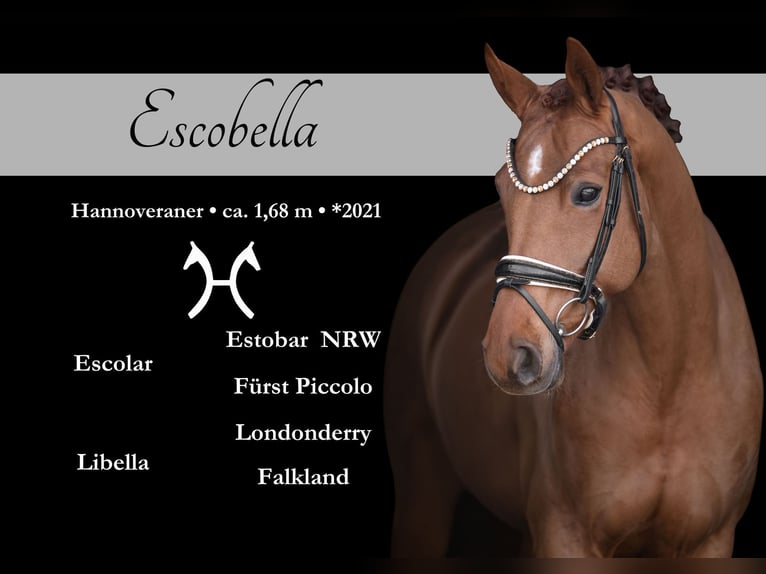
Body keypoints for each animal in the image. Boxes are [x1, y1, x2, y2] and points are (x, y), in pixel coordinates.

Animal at [383, 38, 763, 557]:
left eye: (587, 192)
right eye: (501, 190)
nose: (509, 354)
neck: (670, 379)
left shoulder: (711, 541)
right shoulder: (566, 537)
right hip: (424, 500)